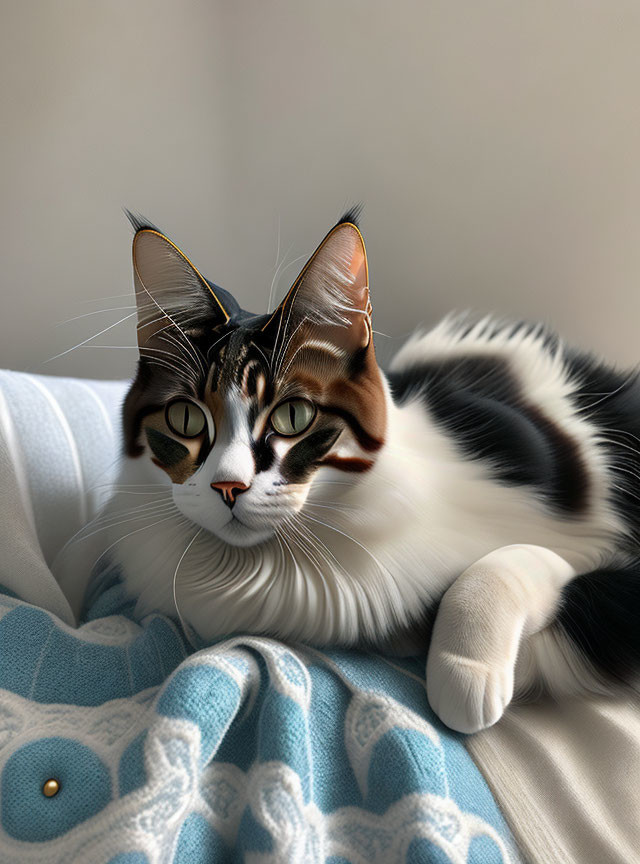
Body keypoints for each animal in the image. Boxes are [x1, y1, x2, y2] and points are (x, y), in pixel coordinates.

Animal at [84, 208, 640, 728]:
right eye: (185, 419)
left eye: (293, 416)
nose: (228, 485)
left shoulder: (574, 534)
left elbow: (503, 567)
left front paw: (464, 673)